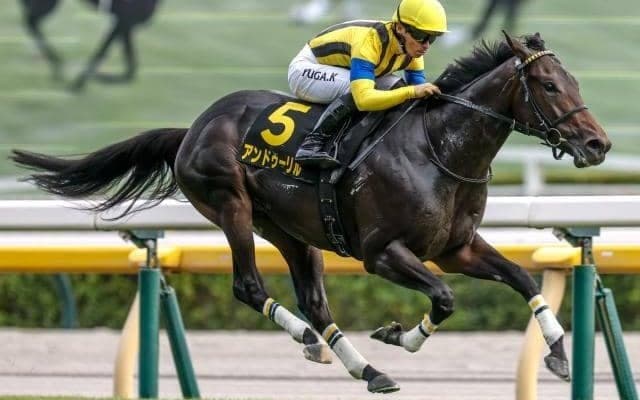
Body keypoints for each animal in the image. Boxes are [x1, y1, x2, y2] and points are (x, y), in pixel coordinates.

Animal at [11, 32, 610, 393]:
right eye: (550, 85)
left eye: (576, 82)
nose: (598, 145)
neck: (440, 148)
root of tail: (193, 128)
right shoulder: (381, 253)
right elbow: (444, 298)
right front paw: (399, 334)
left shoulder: (456, 248)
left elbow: (521, 277)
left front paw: (559, 352)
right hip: (232, 206)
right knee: (250, 287)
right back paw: (309, 340)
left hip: (292, 231)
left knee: (316, 302)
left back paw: (366, 369)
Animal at [19, 0, 159, 91]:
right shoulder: (122, 21)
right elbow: (101, 53)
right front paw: (77, 85)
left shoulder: (125, 24)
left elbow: (130, 71)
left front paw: (97, 78)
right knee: (31, 22)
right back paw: (58, 67)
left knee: (30, 20)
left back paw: (57, 68)